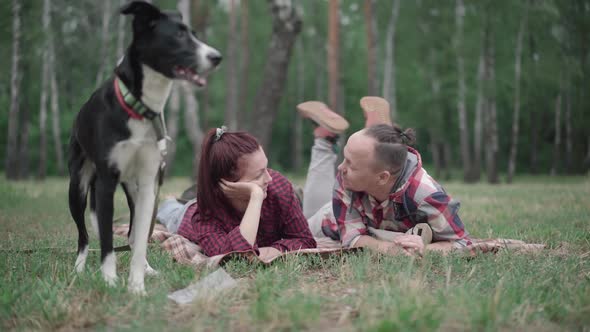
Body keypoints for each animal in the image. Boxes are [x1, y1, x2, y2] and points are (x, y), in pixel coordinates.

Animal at [65, 1, 222, 294]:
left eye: (194, 34)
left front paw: (137, 287)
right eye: (179, 35)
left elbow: (138, 243)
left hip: (133, 191)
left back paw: (147, 269)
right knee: (84, 235)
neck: (139, 108)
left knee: (133, 234)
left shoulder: (149, 183)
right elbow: (106, 242)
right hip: (78, 187)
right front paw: (110, 281)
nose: (216, 57)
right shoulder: (105, 183)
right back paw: (79, 268)